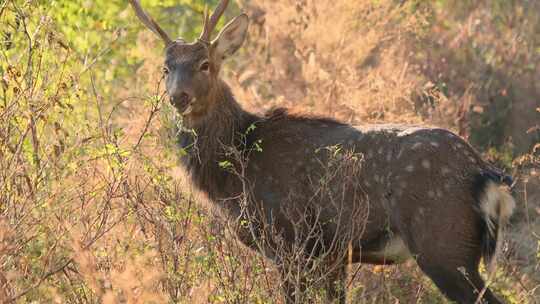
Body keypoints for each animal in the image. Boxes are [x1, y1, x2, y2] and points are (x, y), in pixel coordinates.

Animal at [129, 1, 516, 302]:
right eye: (166, 68)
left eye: (205, 64)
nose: (179, 97)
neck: (235, 173)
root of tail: (486, 175)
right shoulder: (332, 256)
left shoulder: (290, 241)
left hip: (444, 244)